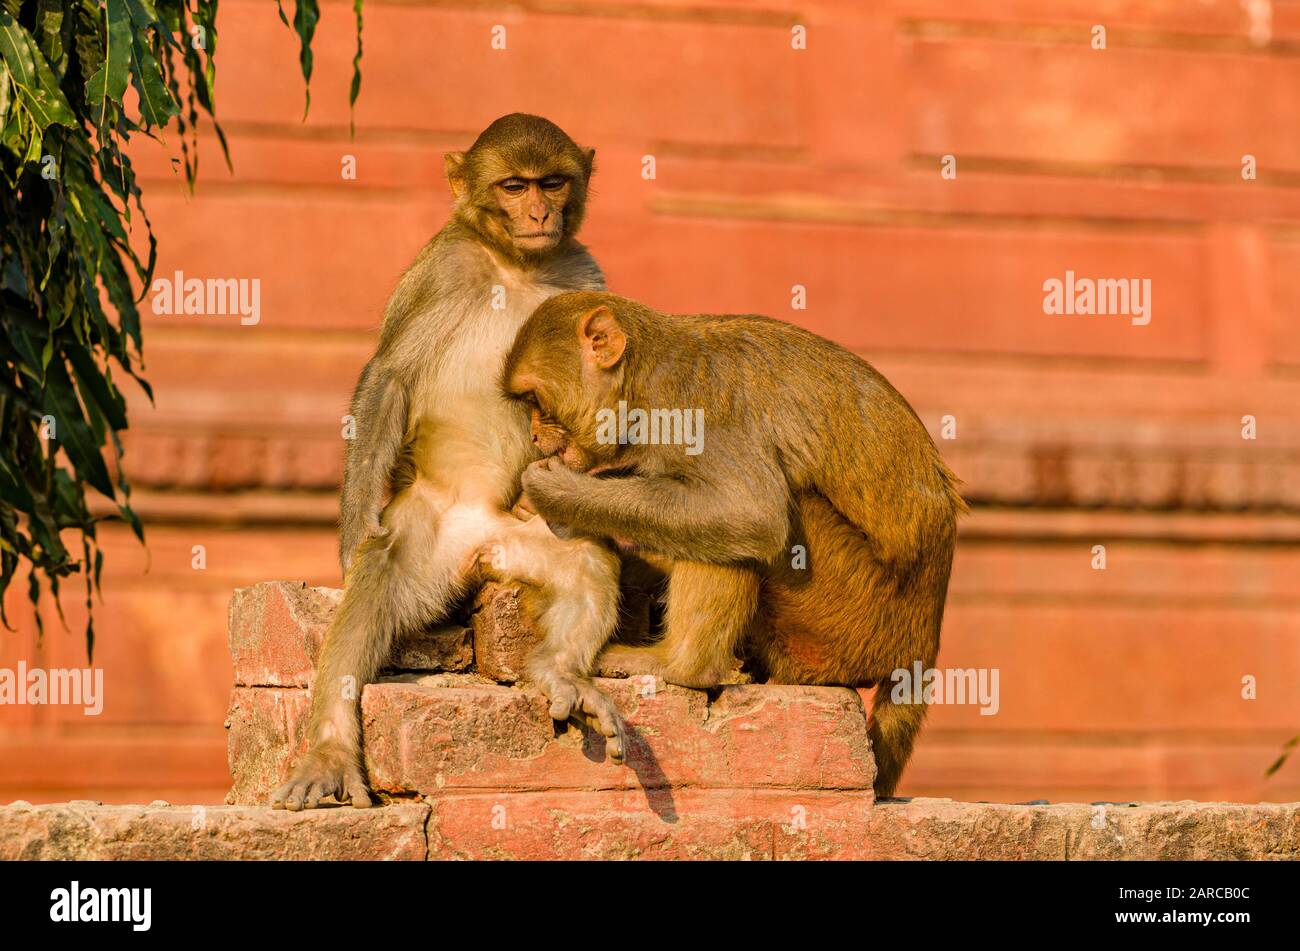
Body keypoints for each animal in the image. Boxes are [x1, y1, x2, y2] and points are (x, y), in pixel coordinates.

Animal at [271, 113, 626, 810]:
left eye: (552, 182)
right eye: (514, 185)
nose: (540, 212)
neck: (518, 265)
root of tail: (479, 547)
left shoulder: (582, 274)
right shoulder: (444, 266)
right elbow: (390, 374)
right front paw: (352, 529)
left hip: (520, 545)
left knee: (585, 561)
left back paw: (560, 672)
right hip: (424, 531)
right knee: (379, 574)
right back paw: (330, 751)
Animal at [488, 289, 967, 795]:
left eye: (535, 400)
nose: (535, 434)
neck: (643, 380)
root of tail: (918, 646)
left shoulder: (693, 409)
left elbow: (747, 511)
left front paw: (555, 493)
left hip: (847, 614)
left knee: (751, 527)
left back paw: (681, 666)